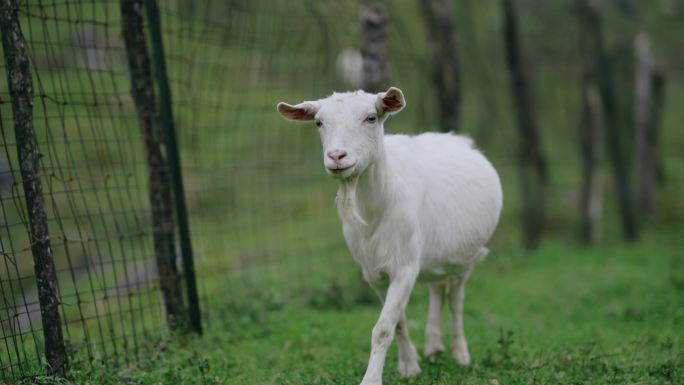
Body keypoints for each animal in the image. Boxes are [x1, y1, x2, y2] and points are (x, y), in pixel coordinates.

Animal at [278, 87, 502, 384]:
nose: (337, 156)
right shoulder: (374, 273)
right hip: (437, 255)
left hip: (465, 259)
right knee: (437, 288)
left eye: (371, 117)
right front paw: (410, 366)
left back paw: (460, 354)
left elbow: (384, 327)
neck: (374, 211)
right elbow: (398, 322)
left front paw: (371, 379)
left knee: (456, 299)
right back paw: (433, 346)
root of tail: (455, 138)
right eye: (318, 122)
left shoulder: (405, 266)